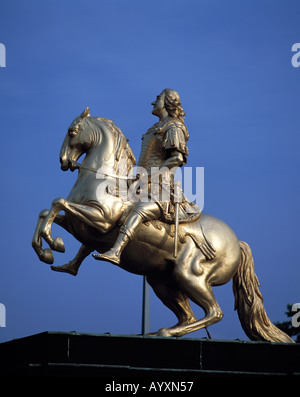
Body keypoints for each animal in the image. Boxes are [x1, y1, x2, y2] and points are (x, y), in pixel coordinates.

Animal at [32, 108, 292, 340]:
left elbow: (58, 203)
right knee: (188, 315)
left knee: (214, 312)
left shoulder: (102, 220)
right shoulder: (83, 226)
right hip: (162, 282)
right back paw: (159, 331)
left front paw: (54, 245)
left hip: (190, 274)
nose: (63, 161)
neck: (105, 181)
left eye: (72, 131)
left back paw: (166, 331)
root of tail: (237, 243)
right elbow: (48, 212)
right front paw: (50, 252)